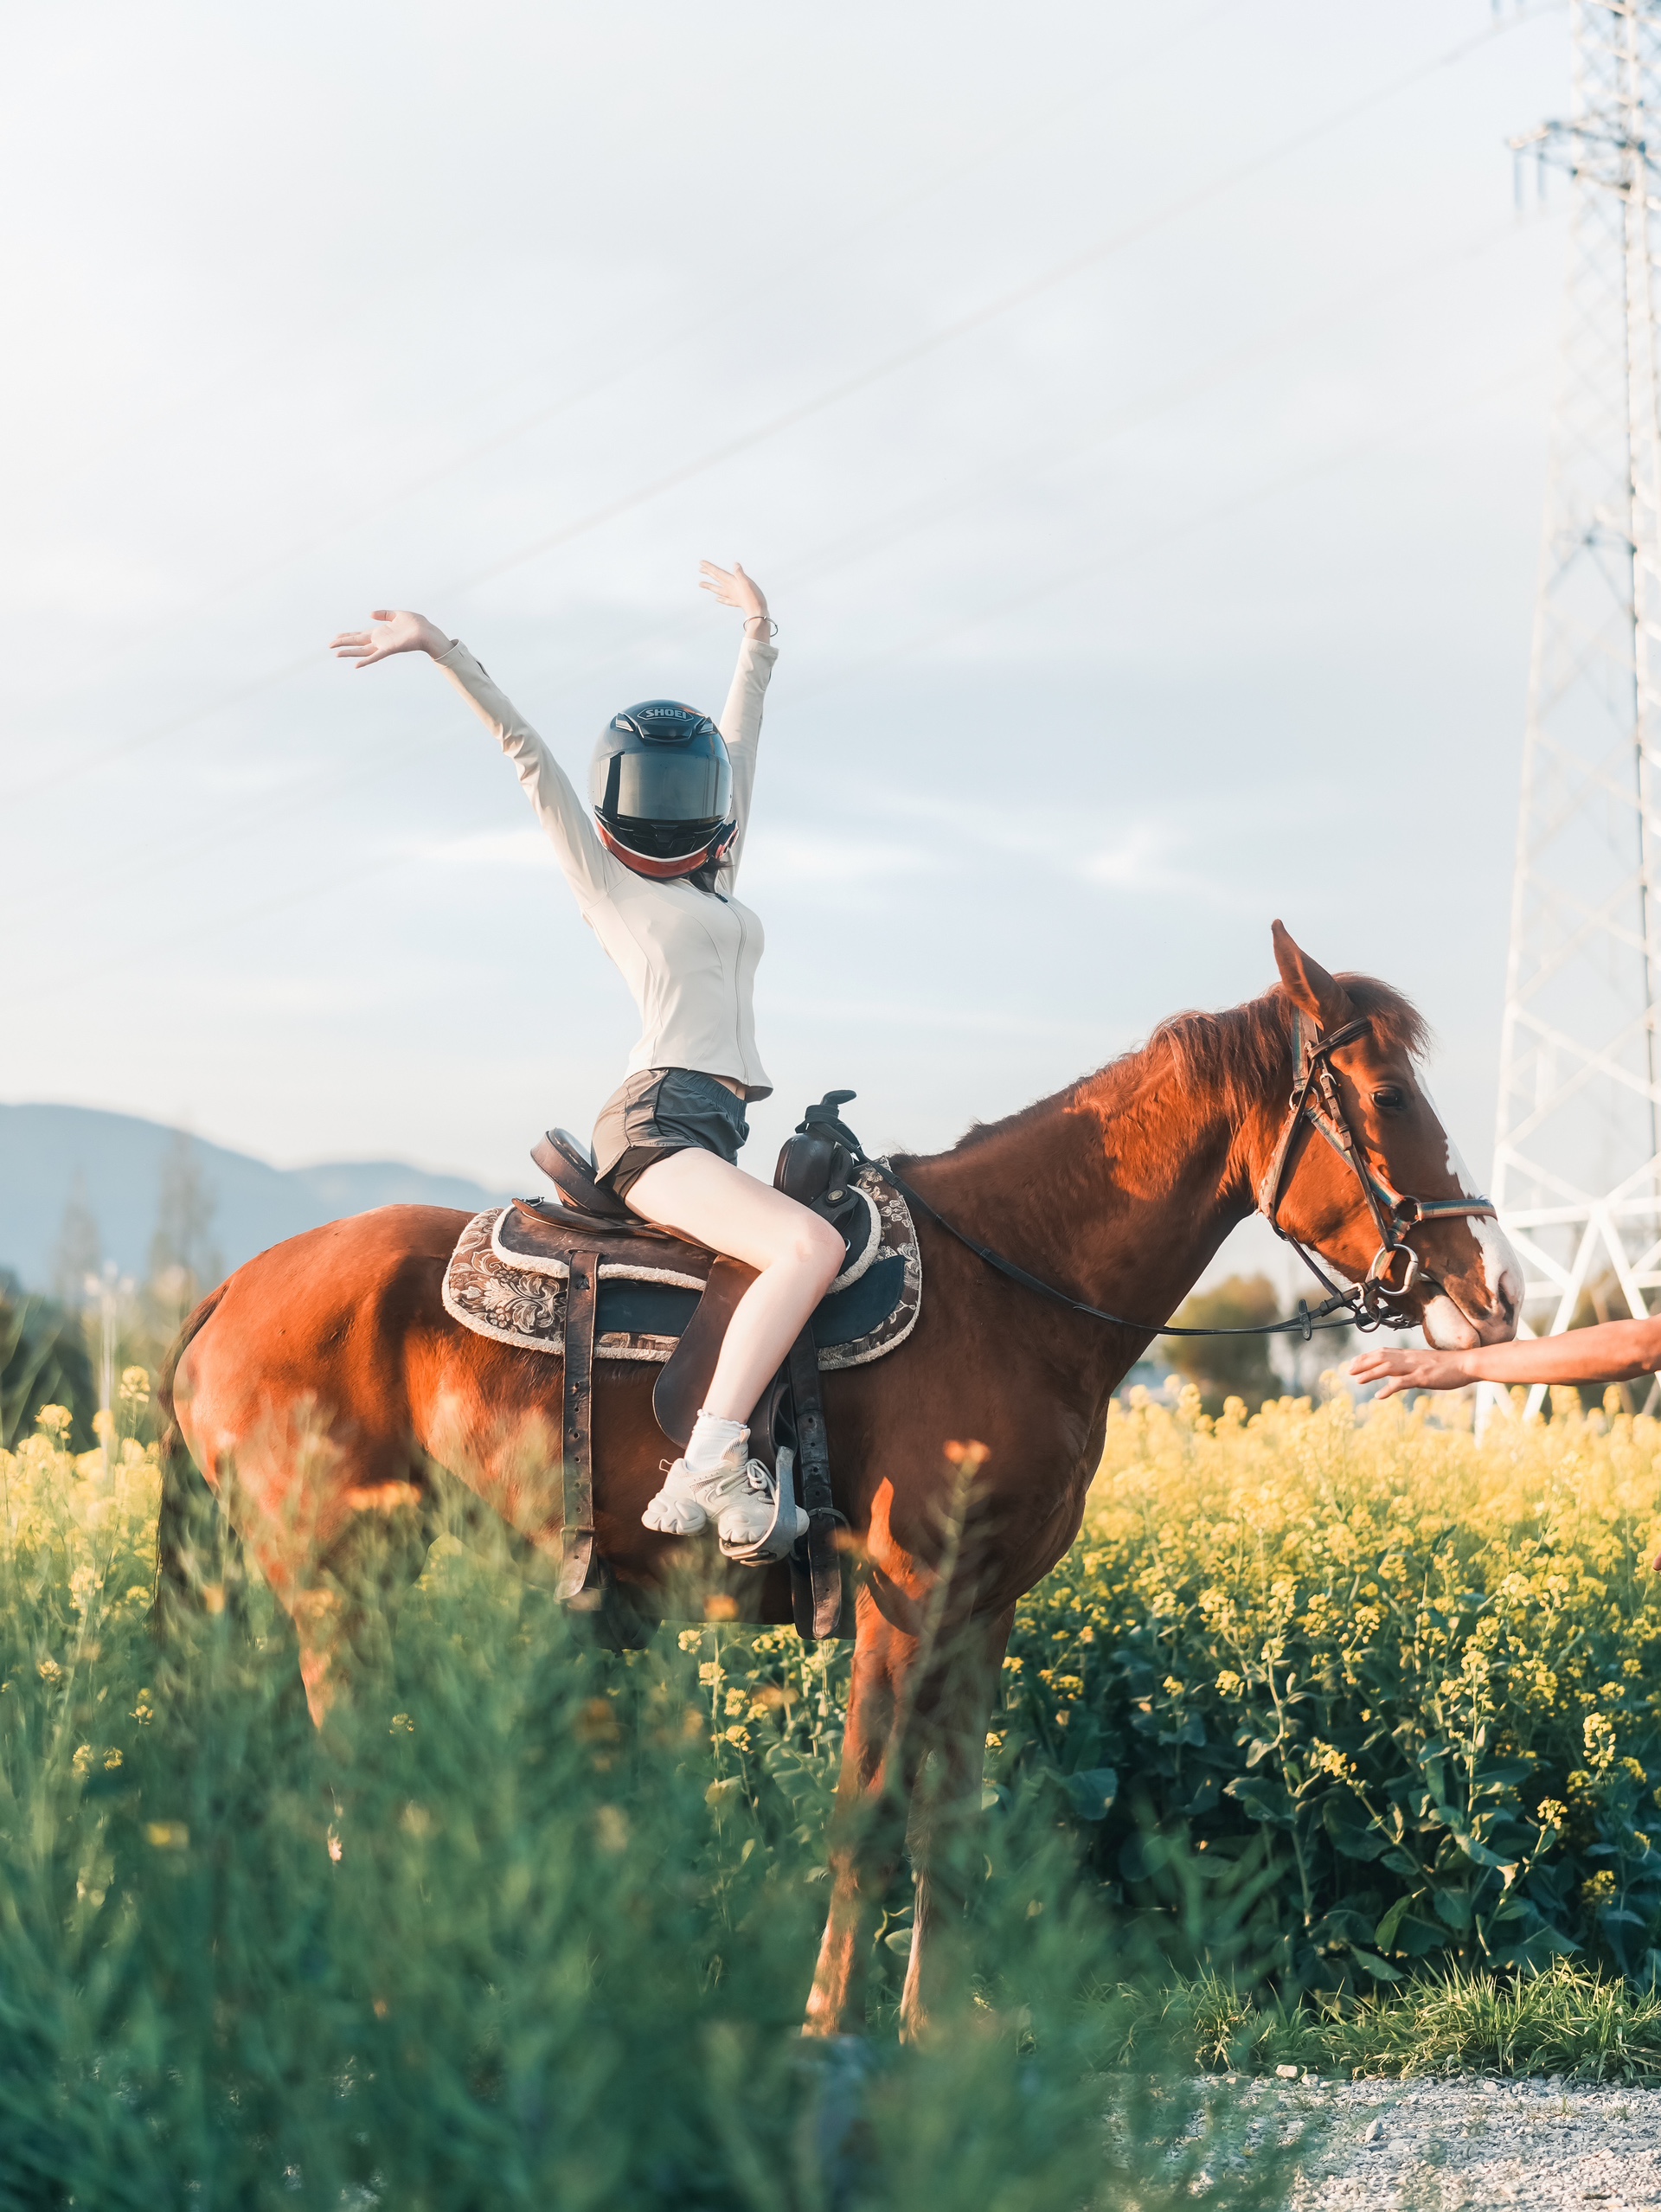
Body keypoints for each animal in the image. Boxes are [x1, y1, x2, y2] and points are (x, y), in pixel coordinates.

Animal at [156, 920, 1521, 2035]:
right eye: (1388, 1093)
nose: (1490, 1288)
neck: (1011, 1284)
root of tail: (230, 1290)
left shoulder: (983, 1605)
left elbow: (946, 1822)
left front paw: (932, 2037)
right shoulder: (898, 1593)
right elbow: (864, 1815)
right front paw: (827, 2029)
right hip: (339, 1587)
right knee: (350, 1786)